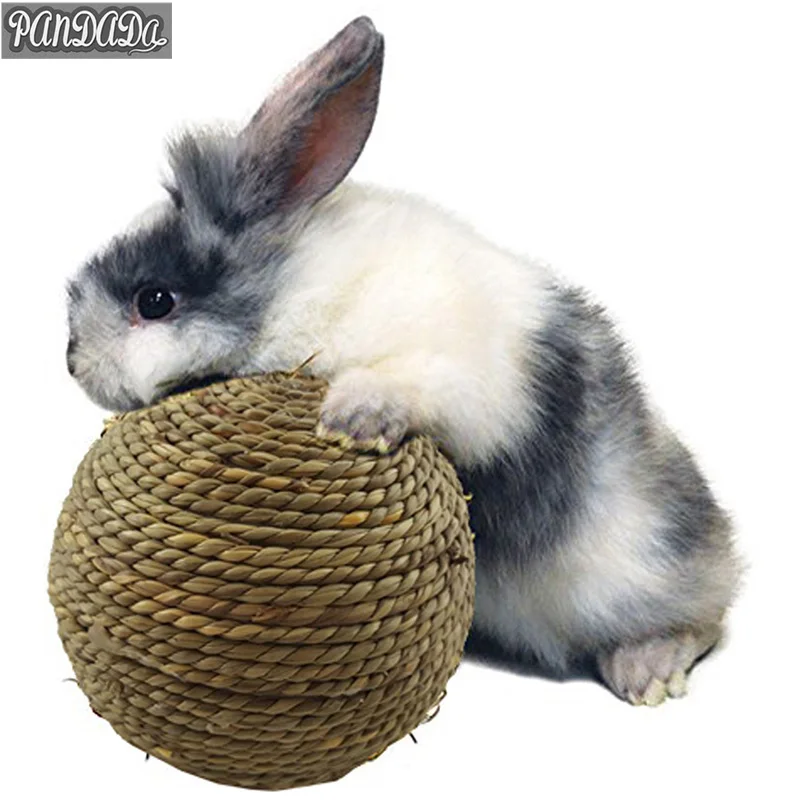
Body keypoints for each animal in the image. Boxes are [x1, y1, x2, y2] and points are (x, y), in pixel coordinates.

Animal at [66, 16, 740, 706]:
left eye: (154, 301)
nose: (72, 361)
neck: (294, 287)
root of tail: (718, 545)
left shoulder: (462, 373)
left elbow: (412, 384)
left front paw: (352, 420)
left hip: (641, 568)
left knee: (704, 618)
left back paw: (648, 670)